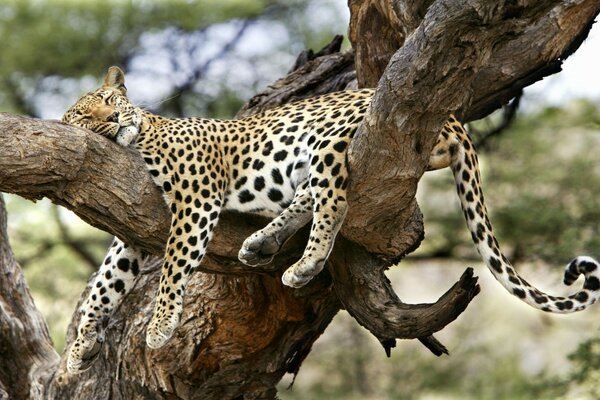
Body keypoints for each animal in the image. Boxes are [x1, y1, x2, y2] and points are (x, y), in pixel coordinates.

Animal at [62, 65, 600, 372]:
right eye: (86, 117)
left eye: (109, 102)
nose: (114, 121)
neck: (141, 136)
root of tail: (451, 117)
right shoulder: (131, 233)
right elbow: (104, 284)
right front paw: (79, 349)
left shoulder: (195, 200)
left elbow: (173, 267)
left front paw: (158, 327)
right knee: (310, 197)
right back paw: (261, 244)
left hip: (327, 139)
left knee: (334, 201)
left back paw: (303, 265)